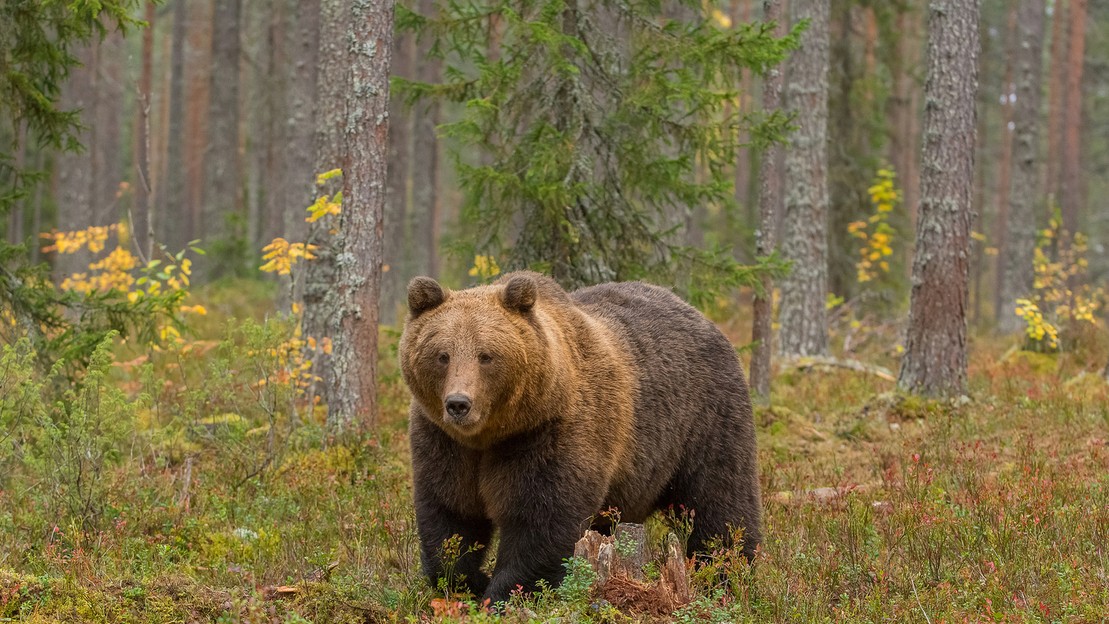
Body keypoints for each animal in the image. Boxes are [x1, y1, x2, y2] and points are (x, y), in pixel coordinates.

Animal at [401, 271, 762, 602]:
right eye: (442, 354)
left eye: (486, 355)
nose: (458, 404)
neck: (491, 435)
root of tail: (698, 313)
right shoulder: (444, 442)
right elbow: (450, 513)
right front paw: (467, 581)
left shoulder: (551, 432)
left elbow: (542, 519)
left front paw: (504, 594)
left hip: (705, 418)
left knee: (721, 502)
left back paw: (727, 573)